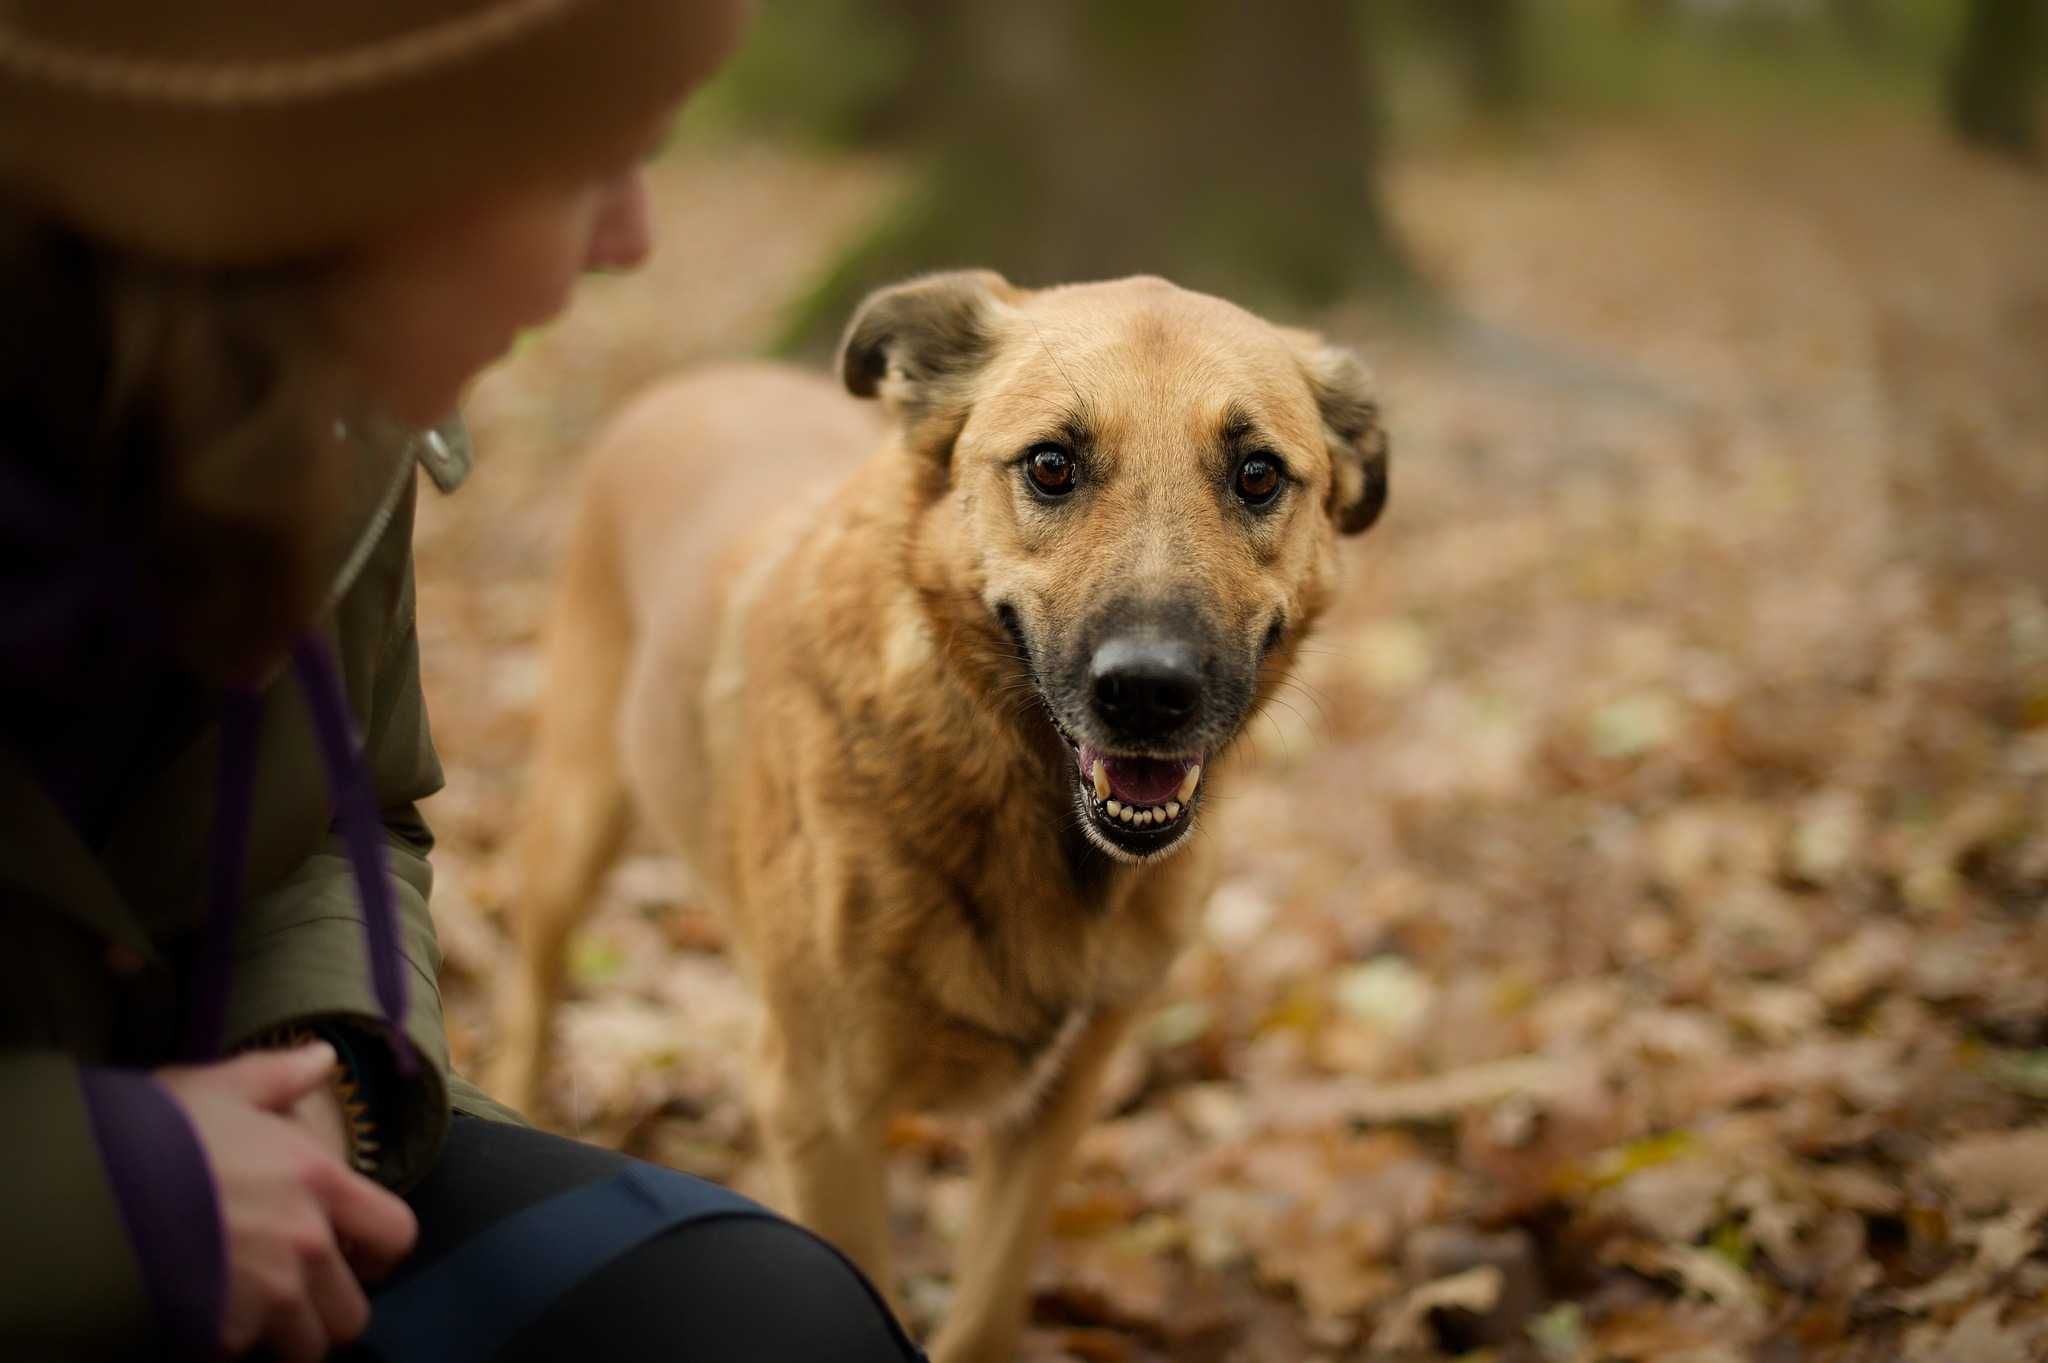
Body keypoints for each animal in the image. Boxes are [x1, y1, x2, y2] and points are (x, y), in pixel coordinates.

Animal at [485, 270, 1384, 1350]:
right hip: (576, 821)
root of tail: (694, 379)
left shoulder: (1051, 1110)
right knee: (531, 989)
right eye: (1050, 465)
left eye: (1256, 474)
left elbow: (985, 1309)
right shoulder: (821, 1110)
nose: (1147, 693)